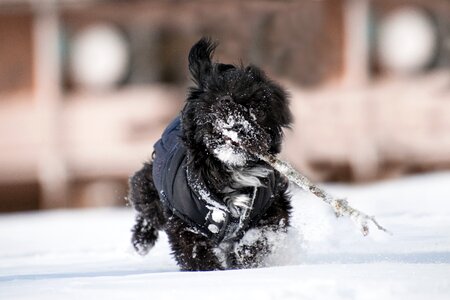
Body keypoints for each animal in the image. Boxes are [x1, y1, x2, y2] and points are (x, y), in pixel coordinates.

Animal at [128, 38, 294, 272]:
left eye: (257, 110)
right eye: (222, 102)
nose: (237, 126)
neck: (229, 171)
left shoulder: (272, 205)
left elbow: (260, 237)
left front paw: (243, 260)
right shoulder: (183, 222)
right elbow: (195, 253)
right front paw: (211, 272)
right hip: (152, 186)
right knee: (145, 203)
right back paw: (141, 240)